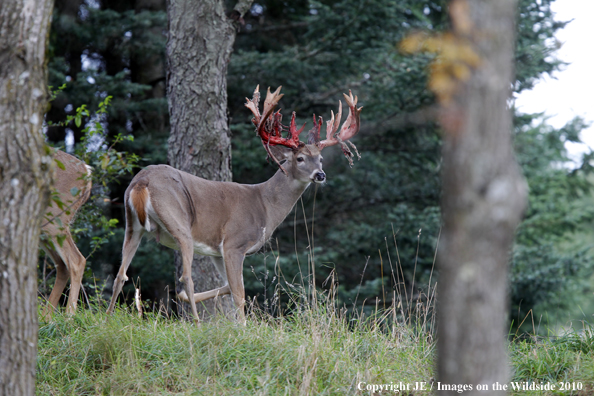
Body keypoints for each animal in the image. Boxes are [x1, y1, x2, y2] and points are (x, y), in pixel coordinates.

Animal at [40, 148, 92, 318]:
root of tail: (86, 171)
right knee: (62, 265)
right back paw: (46, 318)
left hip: (54, 217)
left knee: (77, 260)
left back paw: (69, 316)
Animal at [106, 86, 360, 322]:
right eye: (300, 158)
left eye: (321, 158)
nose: (320, 175)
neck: (265, 205)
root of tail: (142, 182)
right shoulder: (234, 243)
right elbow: (239, 293)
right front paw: (244, 328)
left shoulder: (217, 252)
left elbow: (229, 286)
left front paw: (184, 298)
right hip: (178, 221)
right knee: (185, 276)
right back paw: (196, 323)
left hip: (132, 225)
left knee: (121, 273)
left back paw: (107, 317)